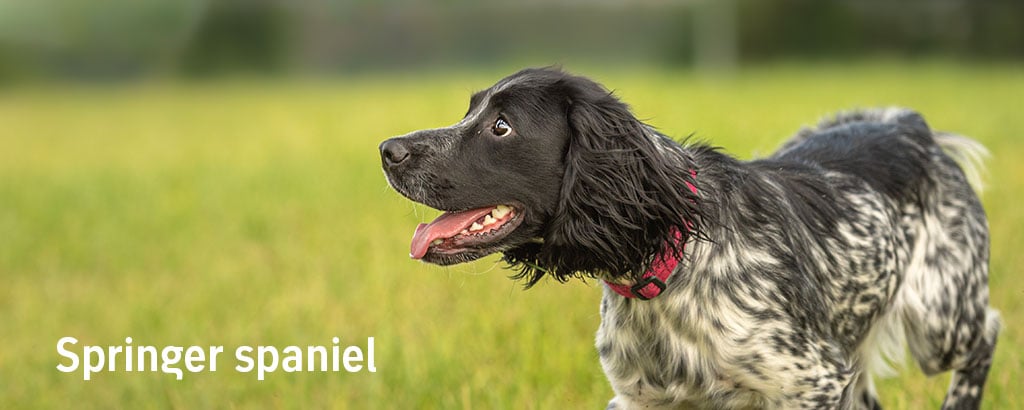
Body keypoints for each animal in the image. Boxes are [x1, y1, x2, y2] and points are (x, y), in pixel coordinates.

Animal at [380, 68, 995, 410]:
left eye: (501, 126)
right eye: (470, 111)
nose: (388, 150)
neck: (670, 266)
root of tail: (909, 124)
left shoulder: (812, 381)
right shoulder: (643, 399)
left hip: (939, 319)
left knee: (986, 333)